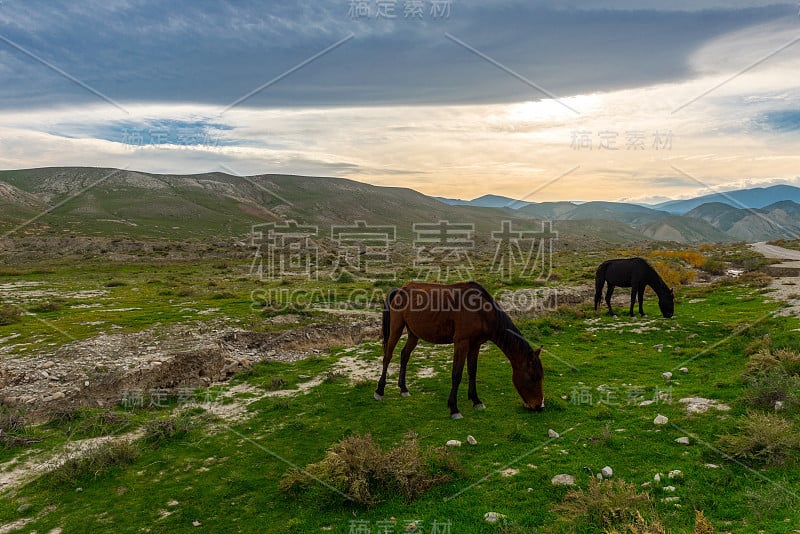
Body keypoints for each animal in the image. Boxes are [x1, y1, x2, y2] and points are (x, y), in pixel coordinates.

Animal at [376, 282, 544, 420]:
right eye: (533, 377)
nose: (539, 406)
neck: (481, 311)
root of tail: (400, 290)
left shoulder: (475, 345)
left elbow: (472, 371)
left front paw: (476, 400)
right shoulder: (461, 343)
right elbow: (456, 374)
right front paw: (454, 408)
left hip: (413, 334)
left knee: (404, 355)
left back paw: (403, 388)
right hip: (396, 328)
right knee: (387, 356)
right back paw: (379, 390)